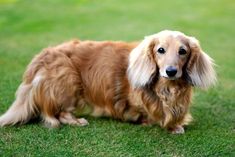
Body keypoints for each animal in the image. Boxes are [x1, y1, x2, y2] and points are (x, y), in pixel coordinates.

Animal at [0, 30, 216, 134]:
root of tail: (42, 56)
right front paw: (164, 124)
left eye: (183, 51)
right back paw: (76, 121)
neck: (167, 89)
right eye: (160, 50)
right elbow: (150, 114)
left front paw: (176, 124)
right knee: (56, 114)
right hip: (68, 80)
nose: (170, 72)